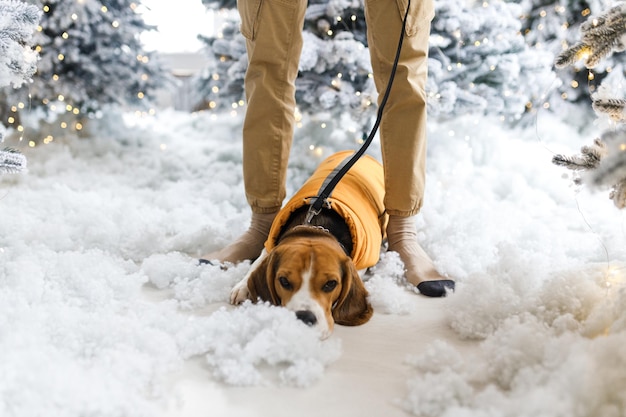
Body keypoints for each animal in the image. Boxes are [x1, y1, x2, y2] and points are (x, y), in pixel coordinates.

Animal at [229, 151, 386, 340]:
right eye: (284, 281)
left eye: (331, 284)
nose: (304, 318)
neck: (314, 228)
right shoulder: (269, 244)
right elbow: (256, 265)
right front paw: (242, 286)